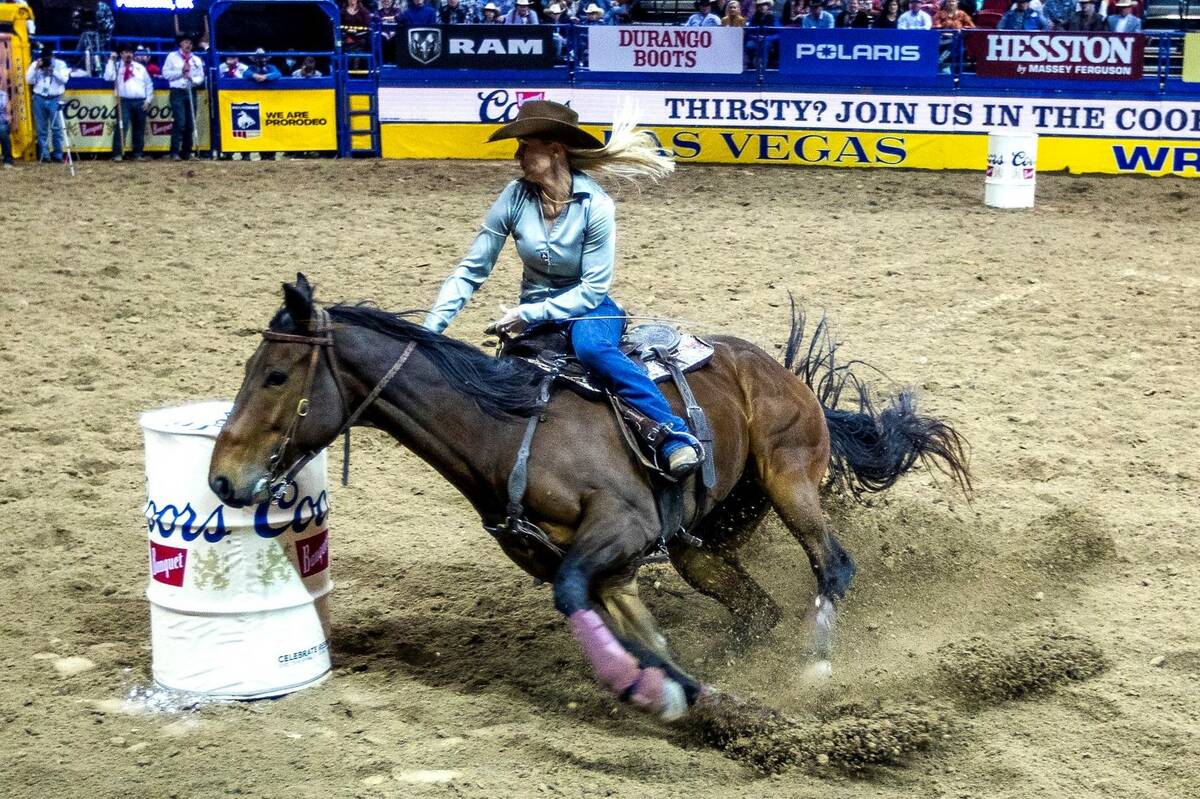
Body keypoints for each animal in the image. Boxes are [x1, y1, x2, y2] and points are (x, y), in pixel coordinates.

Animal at [211, 275, 969, 719]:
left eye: (275, 374)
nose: (222, 477)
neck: (509, 428)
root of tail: (783, 373)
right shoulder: (604, 565)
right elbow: (636, 632)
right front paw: (679, 686)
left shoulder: (617, 533)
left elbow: (574, 595)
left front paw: (657, 691)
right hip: (706, 538)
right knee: (758, 607)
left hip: (789, 480)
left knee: (831, 566)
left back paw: (815, 668)